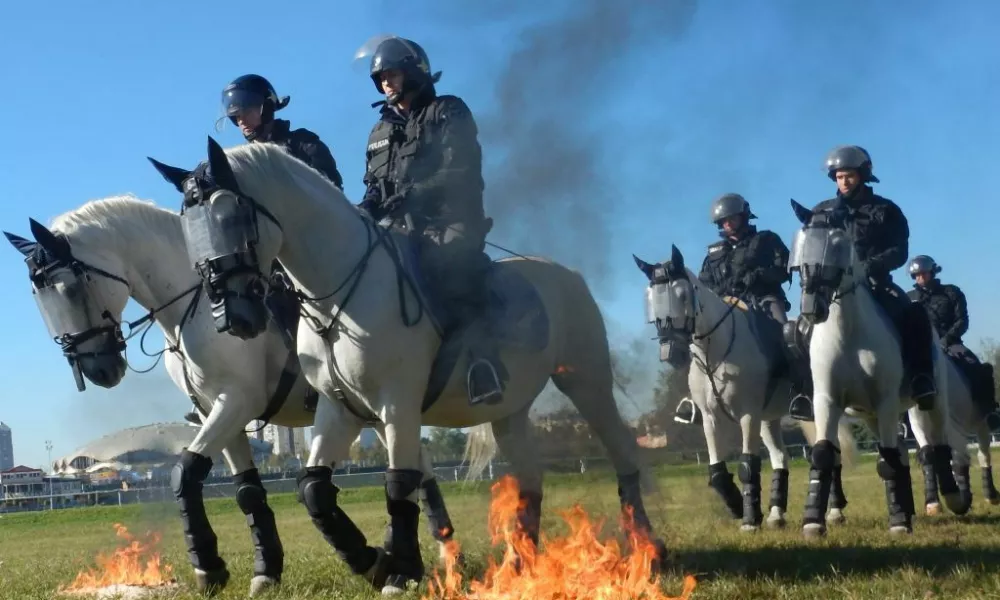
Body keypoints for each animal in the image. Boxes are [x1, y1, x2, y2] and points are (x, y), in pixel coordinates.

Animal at [2, 196, 458, 596]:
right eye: (37, 299)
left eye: (70, 288)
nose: (98, 370)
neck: (198, 305)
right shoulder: (216, 411)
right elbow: (246, 491)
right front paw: (263, 572)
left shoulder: (237, 403)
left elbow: (183, 472)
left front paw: (208, 568)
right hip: (375, 411)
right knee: (420, 472)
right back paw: (423, 557)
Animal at [632, 246, 860, 532]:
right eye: (650, 300)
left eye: (683, 295)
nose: (671, 353)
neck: (716, 353)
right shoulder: (711, 418)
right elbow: (716, 469)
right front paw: (738, 507)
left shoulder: (748, 416)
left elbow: (747, 465)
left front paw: (750, 520)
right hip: (769, 420)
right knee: (780, 458)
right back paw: (776, 515)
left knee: (833, 455)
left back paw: (834, 512)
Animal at [784, 199, 964, 536]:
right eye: (800, 251)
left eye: (837, 247)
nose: (811, 309)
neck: (848, 332)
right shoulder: (827, 401)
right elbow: (824, 453)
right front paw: (813, 521)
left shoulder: (886, 401)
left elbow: (889, 460)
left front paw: (898, 521)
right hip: (872, 416)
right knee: (907, 453)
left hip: (928, 403)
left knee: (937, 444)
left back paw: (952, 498)